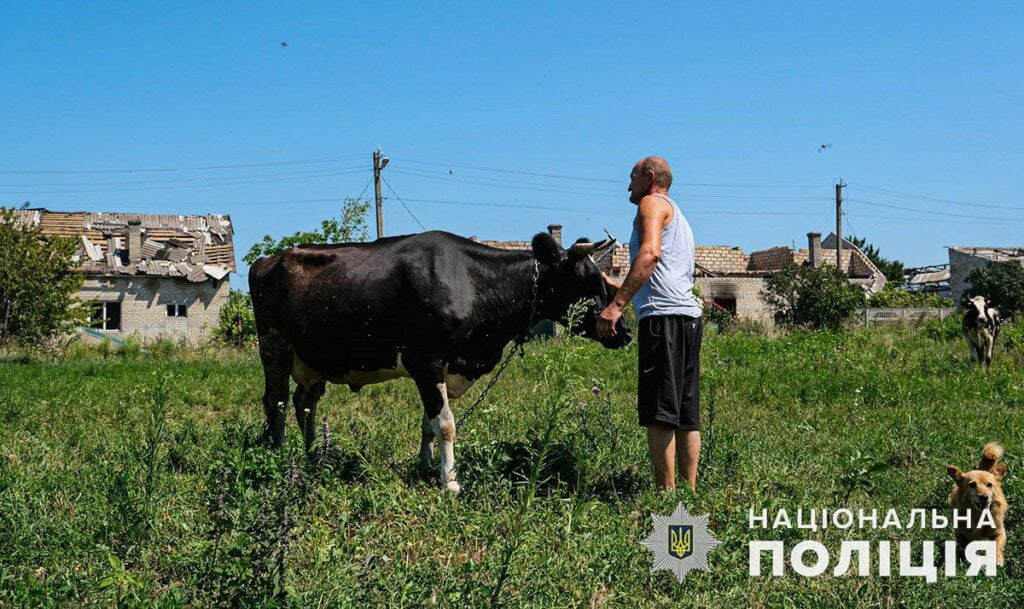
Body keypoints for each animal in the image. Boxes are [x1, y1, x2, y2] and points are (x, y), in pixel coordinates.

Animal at [248, 231, 630, 493]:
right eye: (587, 281)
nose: (623, 331)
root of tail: (269, 259)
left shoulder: (441, 369)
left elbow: (428, 423)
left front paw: (425, 464)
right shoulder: (425, 361)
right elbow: (445, 423)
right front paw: (450, 480)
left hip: (312, 358)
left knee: (304, 401)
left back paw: (315, 454)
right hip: (274, 343)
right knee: (275, 399)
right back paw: (281, 453)